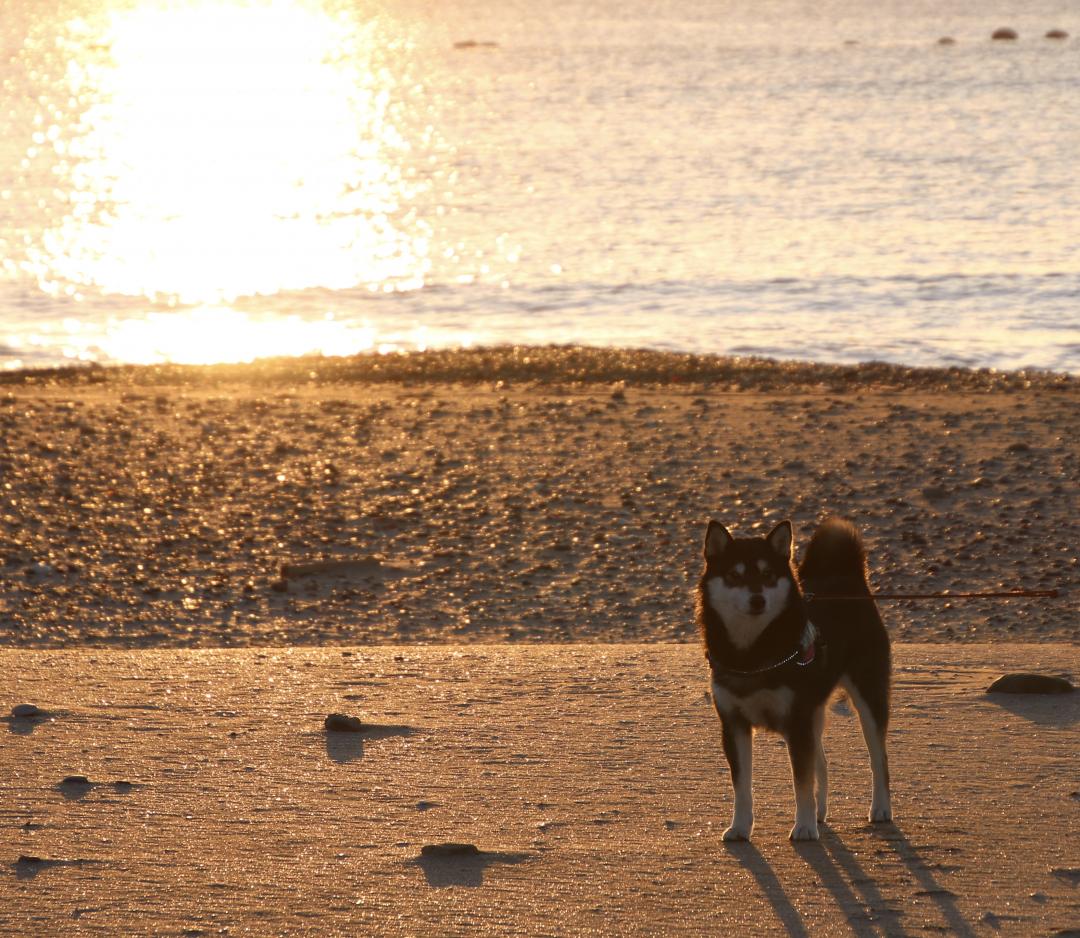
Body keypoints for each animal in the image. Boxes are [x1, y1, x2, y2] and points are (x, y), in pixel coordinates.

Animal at [699, 520, 894, 841]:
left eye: (767, 575)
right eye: (734, 576)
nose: (758, 600)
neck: (752, 654)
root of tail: (846, 577)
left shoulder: (796, 722)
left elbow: (801, 781)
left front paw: (803, 826)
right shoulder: (734, 724)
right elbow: (742, 787)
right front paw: (740, 827)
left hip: (868, 696)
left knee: (879, 759)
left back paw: (880, 808)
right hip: (814, 711)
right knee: (823, 763)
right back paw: (820, 813)